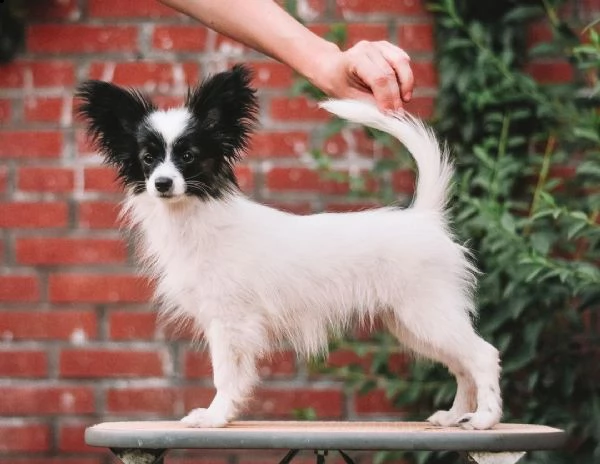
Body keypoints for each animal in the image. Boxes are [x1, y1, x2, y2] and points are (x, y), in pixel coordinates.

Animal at [77, 63, 504, 430]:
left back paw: (485, 419)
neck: (192, 219)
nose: (162, 183)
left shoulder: (231, 323)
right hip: (412, 323)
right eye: (148, 159)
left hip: (427, 314)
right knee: (461, 364)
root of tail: (424, 217)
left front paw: (216, 417)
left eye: (188, 156)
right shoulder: (223, 322)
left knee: (482, 356)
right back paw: (455, 416)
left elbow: (226, 375)